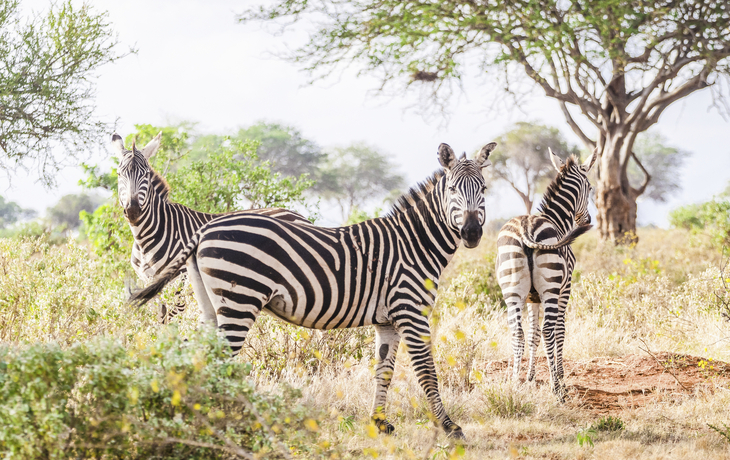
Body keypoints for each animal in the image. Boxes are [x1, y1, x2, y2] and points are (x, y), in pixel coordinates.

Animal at [114, 133, 310, 324]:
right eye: (119, 174)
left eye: (146, 174)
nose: (132, 210)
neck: (145, 240)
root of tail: (298, 216)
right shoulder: (150, 282)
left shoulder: (181, 281)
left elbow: (170, 322)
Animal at [129, 142, 497, 439]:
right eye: (453, 189)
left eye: (483, 188)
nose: (472, 233)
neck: (414, 243)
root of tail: (205, 228)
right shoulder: (411, 311)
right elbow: (427, 372)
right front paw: (450, 427)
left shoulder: (388, 321)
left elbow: (384, 371)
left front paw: (379, 423)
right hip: (239, 299)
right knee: (220, 361)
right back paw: (223, 419)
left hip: (210, 304)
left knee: (201, 357)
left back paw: (204, 415)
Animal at [495, 148, 596, 401]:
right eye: (590, 187)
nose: (587, 220)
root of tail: (526, 229)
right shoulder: (565, 288)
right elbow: (560, 330)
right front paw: (560, 377)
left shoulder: (532, 298)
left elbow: (533, 334)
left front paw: (529, 378)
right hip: (551, 289)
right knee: (550, 330)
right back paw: (557, 390)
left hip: (512, 291)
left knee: (517, 332)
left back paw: (514, 383)